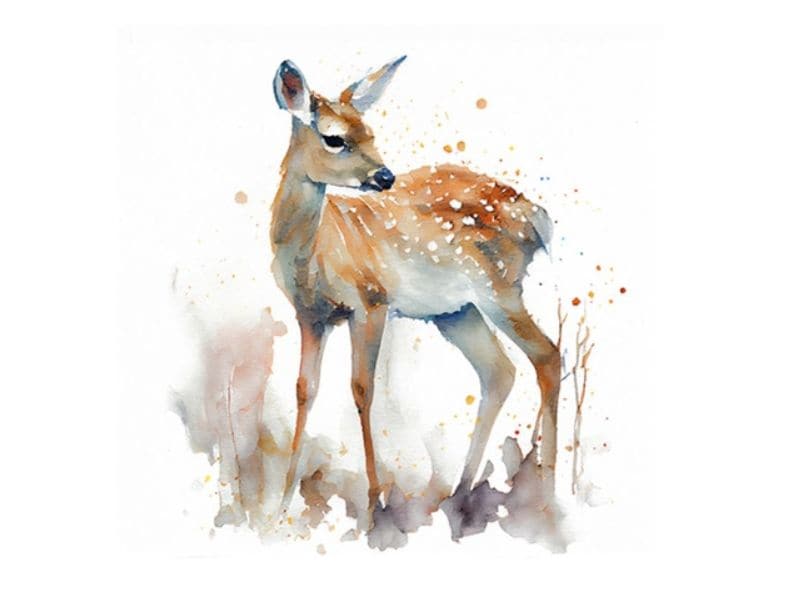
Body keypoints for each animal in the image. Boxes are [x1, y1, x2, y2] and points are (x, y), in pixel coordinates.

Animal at [270, 56, 561, 531]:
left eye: (371, 132)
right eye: (334, 138)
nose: (385, 176)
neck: (314, 253)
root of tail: (539, 216)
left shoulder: (371, 300)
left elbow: (361, 388)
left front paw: (374, 506)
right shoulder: (309, 315)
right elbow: (304, 389)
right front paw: (280, 504)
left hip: (500, 288)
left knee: (547, 355)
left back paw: (548, 495)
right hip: (456, 311)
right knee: (498, 371)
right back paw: (460, 495)